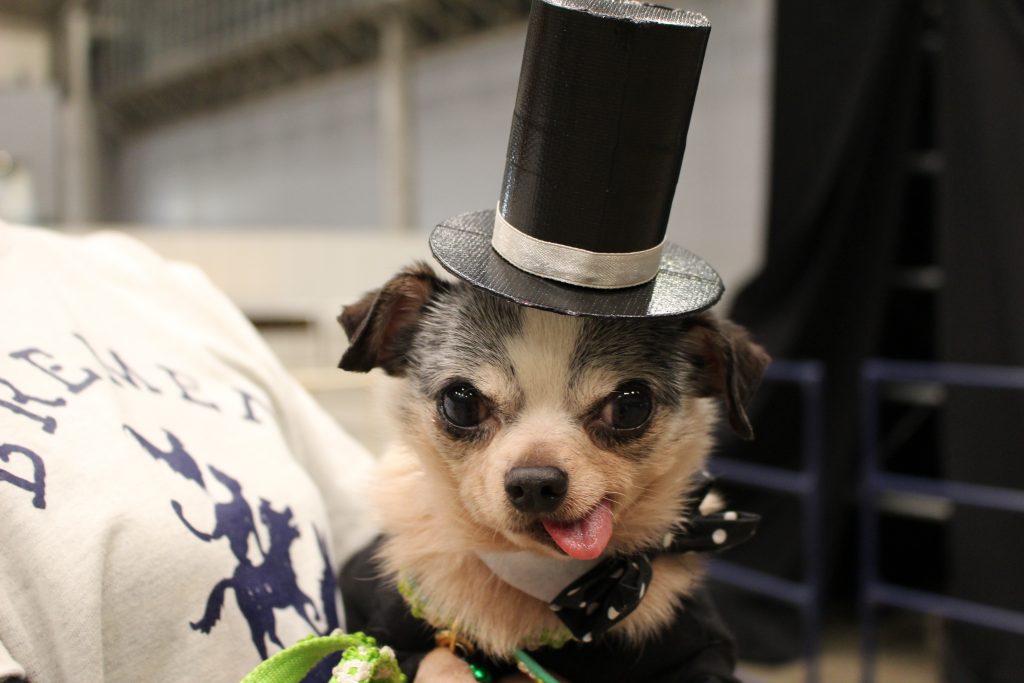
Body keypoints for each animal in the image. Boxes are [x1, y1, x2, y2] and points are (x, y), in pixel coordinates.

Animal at [338, 262, 769, 682]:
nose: (534, 483)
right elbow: (438, 662)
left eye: (630, 406)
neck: (549, 578)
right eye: (461, 403)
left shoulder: (702, 652)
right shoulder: (390, 630)